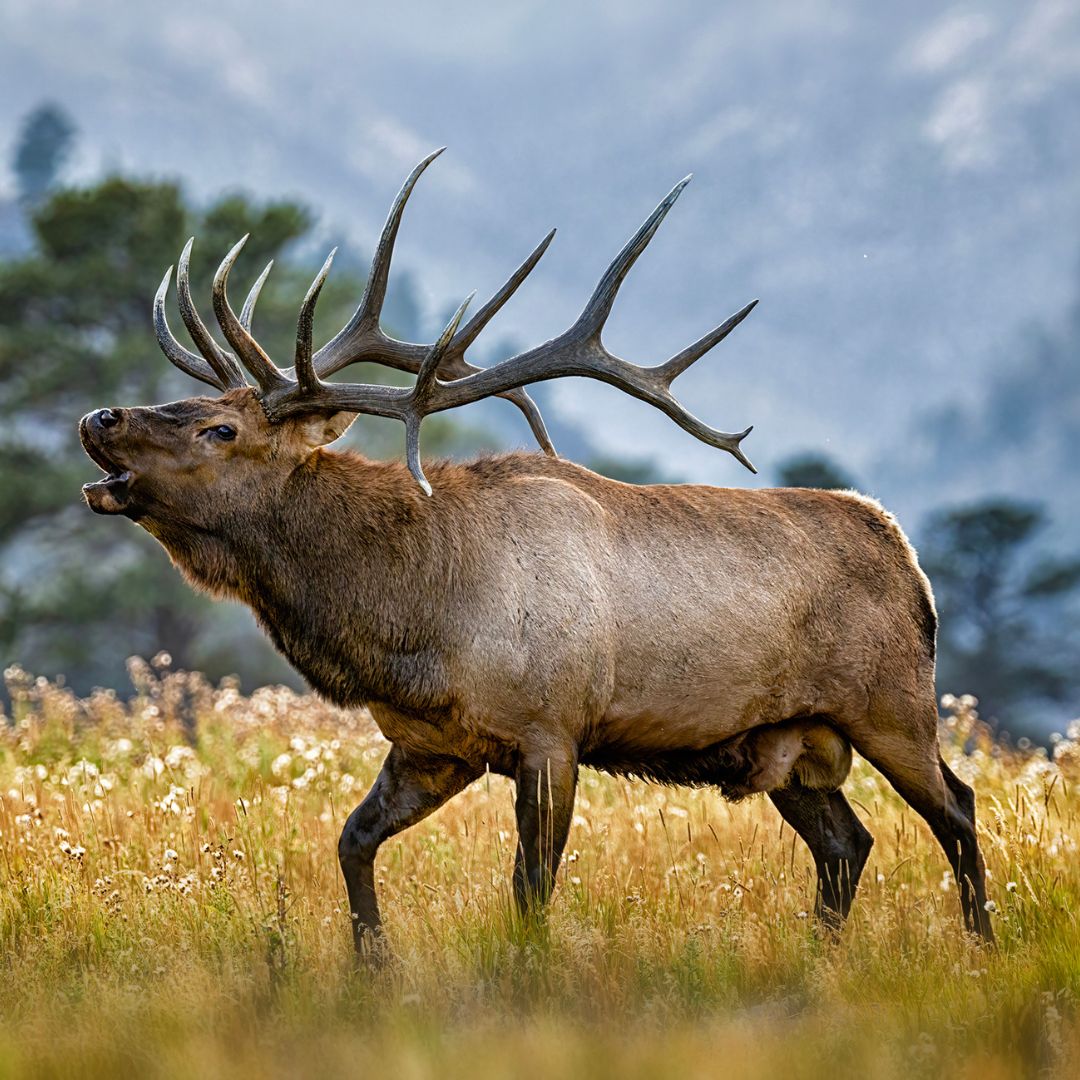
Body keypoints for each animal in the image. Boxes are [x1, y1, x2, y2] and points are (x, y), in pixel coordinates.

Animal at [78, 149, 994, 957]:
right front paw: (373, 966)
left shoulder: (552, 732)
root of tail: (912, 564)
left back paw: (982, 948)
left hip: (892, 705)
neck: (411, 620)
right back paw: (822, 956)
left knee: (957, 808)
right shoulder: (433, 745)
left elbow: (529, 890)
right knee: (848, 843)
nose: (99, 417)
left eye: (219, 429)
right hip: (791, 744)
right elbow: (351, 842)